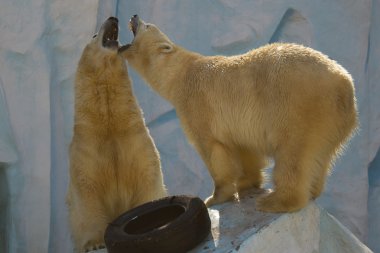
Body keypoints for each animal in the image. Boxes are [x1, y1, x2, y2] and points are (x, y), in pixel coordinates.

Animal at [66, 16, 166, 252]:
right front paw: (94, 243)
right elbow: (87, 189)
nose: (113, 18)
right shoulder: (87, 146)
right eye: (94, 35)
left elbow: (147, 175)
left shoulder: (135, 137)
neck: (108, 124)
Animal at [120, 15, 358, 213]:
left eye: (147, 25)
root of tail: (343, 82)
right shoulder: (238, 121)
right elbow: (244, 149)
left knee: (293, 154)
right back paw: (312, 190)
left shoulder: (197, 105)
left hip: (298, 108)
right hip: (332, 119)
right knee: (320, 156)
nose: (134, 15)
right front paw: (247, 185)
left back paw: (276, 201)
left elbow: (213, 151)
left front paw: (214, 198)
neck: (180, 75)